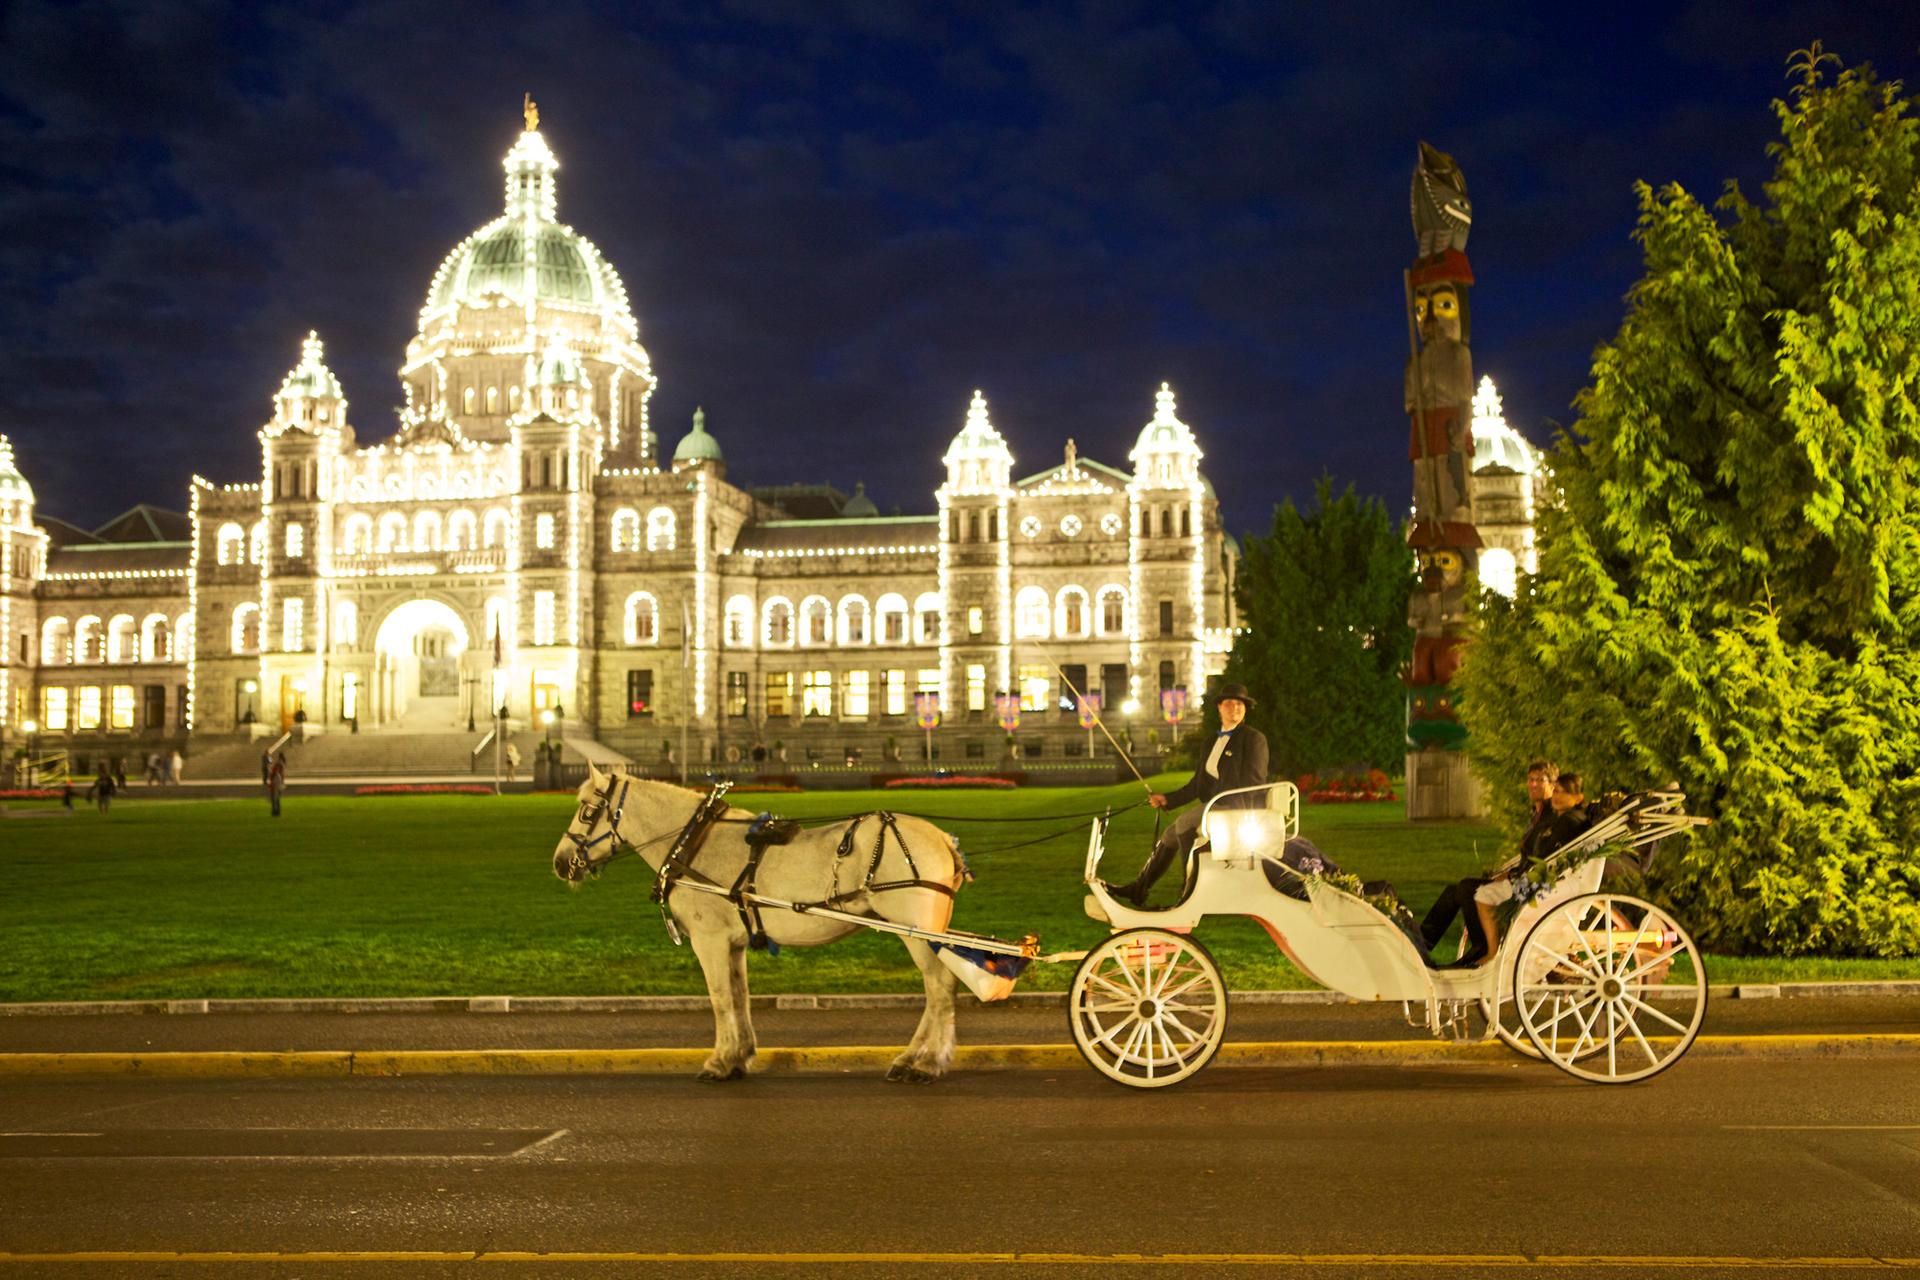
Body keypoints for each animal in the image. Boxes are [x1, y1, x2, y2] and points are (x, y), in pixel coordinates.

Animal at [556, 767, 967, 1090]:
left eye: (587, 810)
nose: (561, 862)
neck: (693, 841)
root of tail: (944, 838)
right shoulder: (733, 942)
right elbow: (739, 996)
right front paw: (739, 1056)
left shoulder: (709, 940)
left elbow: (720, 998)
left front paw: (719, 1062)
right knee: (937, 987)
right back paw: (910, 1058)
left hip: (916, 931)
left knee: (939, 986)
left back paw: (927, 1063)